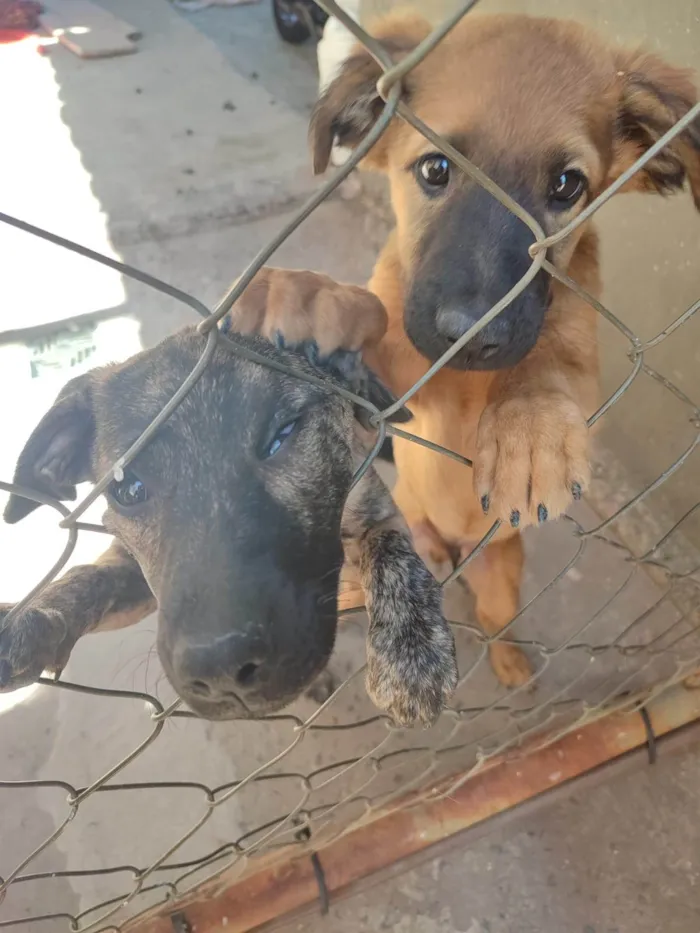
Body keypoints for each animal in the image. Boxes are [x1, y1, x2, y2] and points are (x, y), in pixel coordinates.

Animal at [1, 288, 460, 724]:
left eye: (281, 435)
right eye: (129, 490)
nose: (220, 671)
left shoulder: (377, 508)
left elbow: (390, 550)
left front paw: (411, 652)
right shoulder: (139, 574)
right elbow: (90, 576)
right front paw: (26, 620)